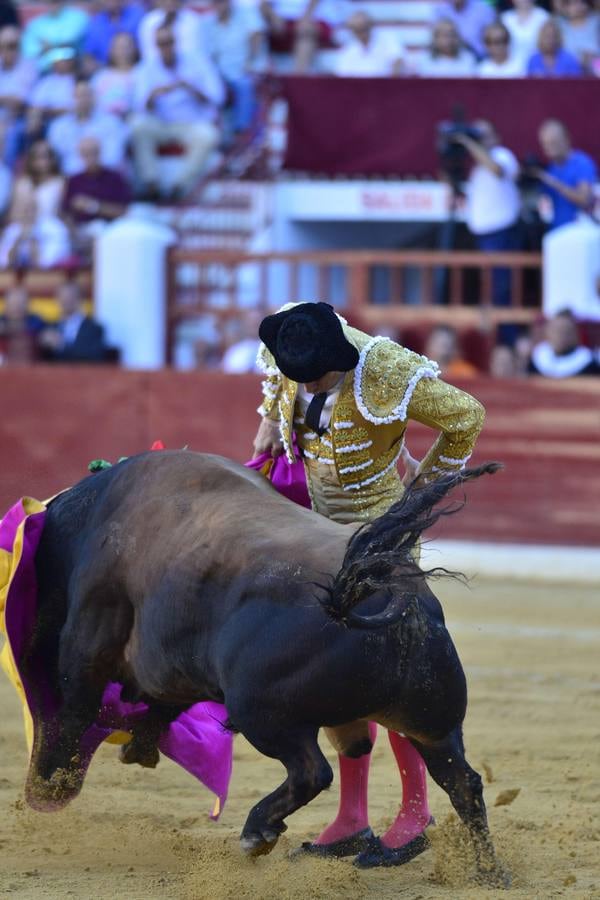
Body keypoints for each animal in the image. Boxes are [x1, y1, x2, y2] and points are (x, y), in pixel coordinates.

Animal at [24, 454, 506, 884]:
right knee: (460, 781)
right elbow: (163, 703)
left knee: (313, 771)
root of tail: (396, 593)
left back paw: (257, 833)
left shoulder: (88, 636)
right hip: (433, 722)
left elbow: (73, 709)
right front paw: (136, 748)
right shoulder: (175, 664)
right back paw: (486, 871)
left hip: (262, 713)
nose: (38, 792)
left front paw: (49, 787)